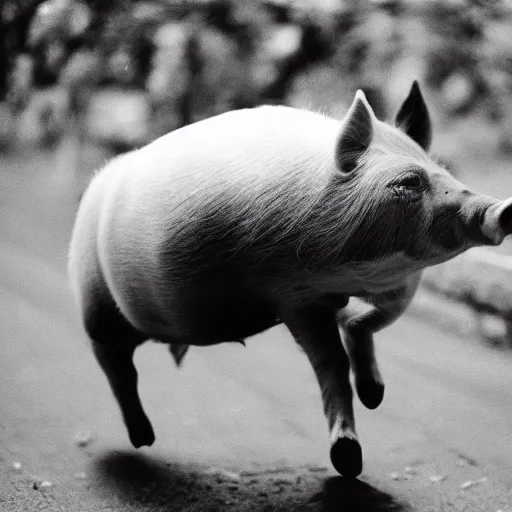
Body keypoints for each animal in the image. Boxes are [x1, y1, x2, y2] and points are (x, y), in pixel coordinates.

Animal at [67, 82, 512, 478]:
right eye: (409, 181)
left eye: (444, 170)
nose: (501, 209)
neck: (352, 276)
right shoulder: (294, 294)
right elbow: (331, 362)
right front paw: (349, 460)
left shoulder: (393, 284)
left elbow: (369, 322)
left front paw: (374, 396)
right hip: (95, 305)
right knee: (116, 366)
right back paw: (142, 438)